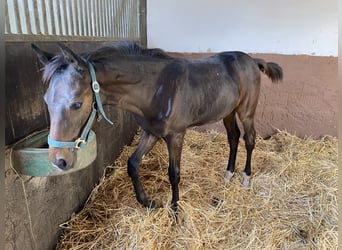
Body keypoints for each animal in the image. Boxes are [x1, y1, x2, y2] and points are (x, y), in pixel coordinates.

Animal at [31, 41, 284, 211]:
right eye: (46, 101)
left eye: (76, 103)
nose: (58, 161)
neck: (157, 88)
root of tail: (252, 60)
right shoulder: (151, 133)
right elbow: (133, 163)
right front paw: (147, 202)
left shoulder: (176, 135)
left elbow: (174, 173)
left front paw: (175, 210)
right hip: (228, 112)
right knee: (233, 137)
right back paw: (228, 174)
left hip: (246, 112)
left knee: (249, 139)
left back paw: (246, 178)